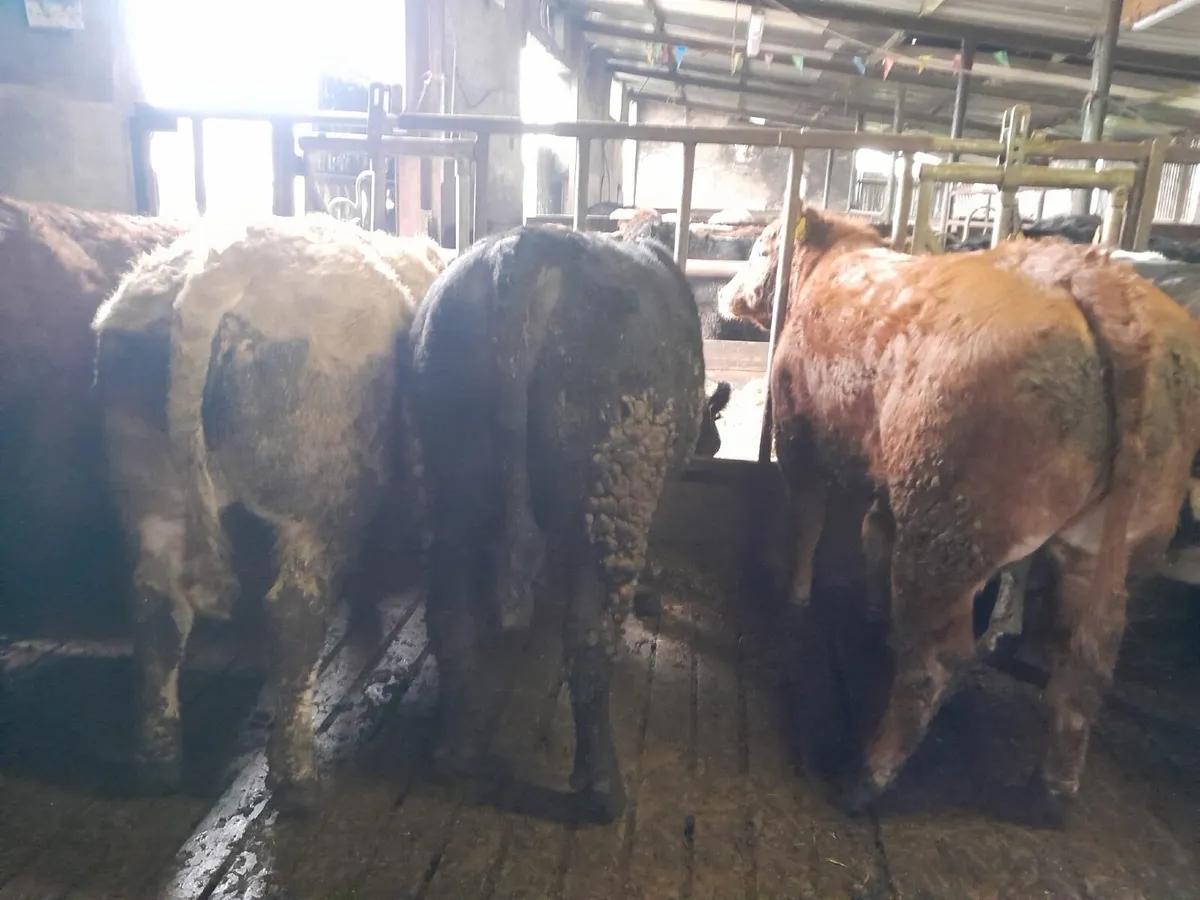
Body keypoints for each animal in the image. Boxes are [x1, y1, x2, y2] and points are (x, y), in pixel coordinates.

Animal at [92, 214, 446, 814]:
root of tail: (212, 273)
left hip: (149, 483)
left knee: (155, 609)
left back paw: (158, 762)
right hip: (316, 490)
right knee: (294, 614)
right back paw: (296, 777)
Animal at [411, 226, 726, 823]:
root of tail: (524, 251)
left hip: (448, 482)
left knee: (450, 614)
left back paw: (452, 749)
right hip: (614, 484)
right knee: (590, 638)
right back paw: (602, 786)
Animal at [717, 205, 1200, 826]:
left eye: (759, 248)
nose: (726, 292)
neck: (834, 266)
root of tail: (1101, 283)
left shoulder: (798, 437)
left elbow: (808, 525)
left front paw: (796, 597)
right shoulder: (890, 479)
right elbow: (874, 533)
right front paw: (875, 612)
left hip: (949, 528)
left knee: (937, 659)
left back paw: (864, 777)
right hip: (1105, 546)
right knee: (1086, 662)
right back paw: (1051, 791)